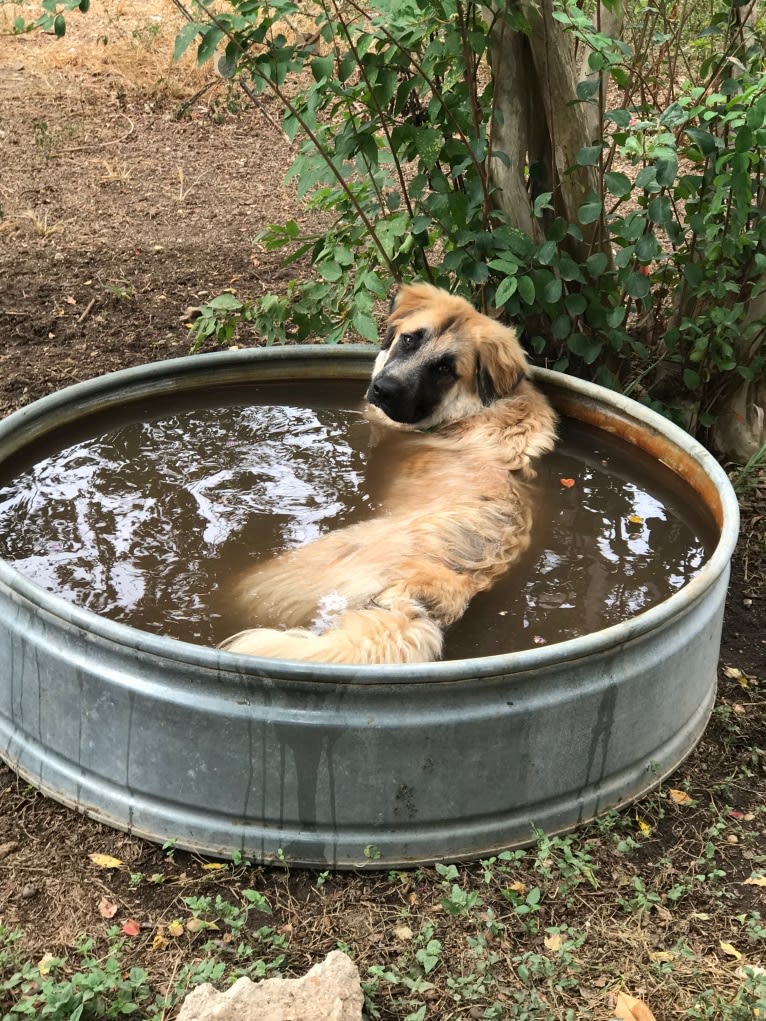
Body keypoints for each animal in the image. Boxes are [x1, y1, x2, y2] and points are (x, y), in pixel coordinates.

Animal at [220, 283, 559, 665]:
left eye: (445, 369)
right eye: (409, 339)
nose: (385, 390)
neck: (470, 413)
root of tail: (422, 592)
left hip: (273, 577)